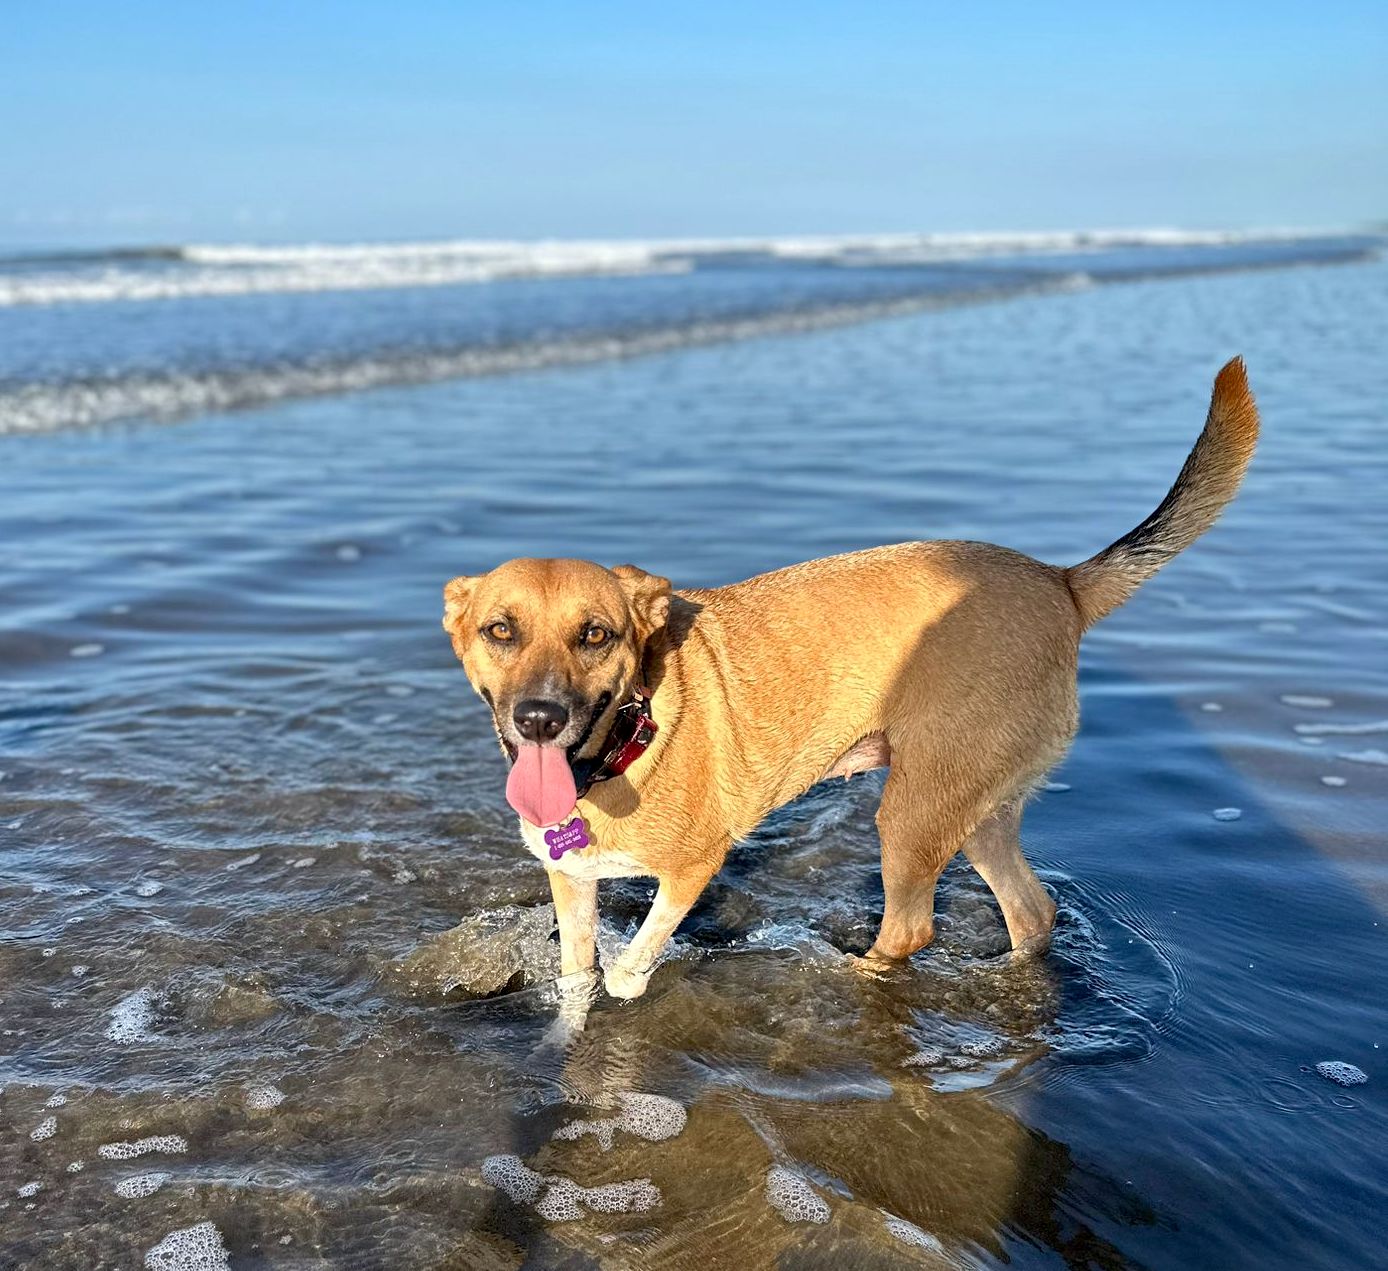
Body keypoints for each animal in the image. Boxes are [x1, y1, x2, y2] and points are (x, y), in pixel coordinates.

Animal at [441, 357, 1260, 1004]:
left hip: (913, 812)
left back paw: (846, 978)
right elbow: (578, 976)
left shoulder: (693, 867)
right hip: (977, 807)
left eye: (597, 634)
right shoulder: (572, 881)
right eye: (500, 631)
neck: (621, 745)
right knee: (1033, 911)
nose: (539, 718)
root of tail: (1062, 582)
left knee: (910, 928)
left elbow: (626, 967)